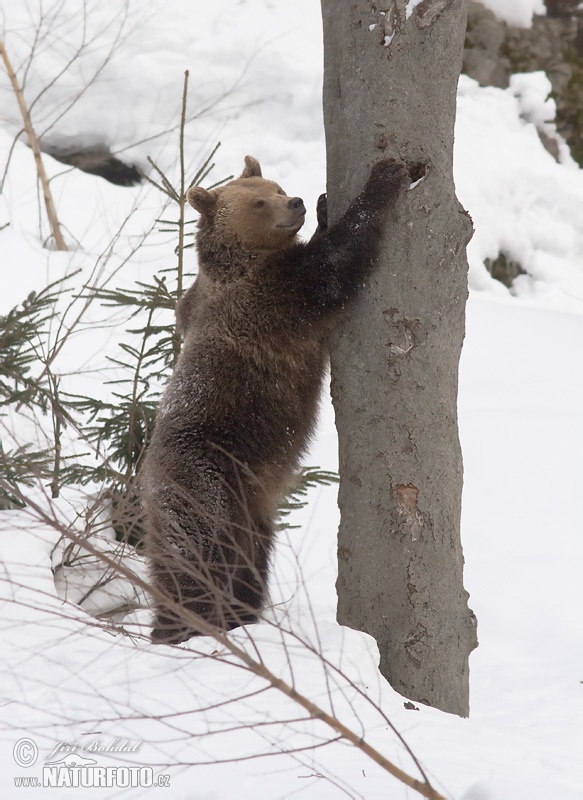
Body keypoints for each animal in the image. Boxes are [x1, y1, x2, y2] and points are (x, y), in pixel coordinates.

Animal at [141, 156, 410, 644]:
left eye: (276, 187)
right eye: (258, 202)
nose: (297, 202)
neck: (246, 260)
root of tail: (144, 480)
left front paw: (325, 207)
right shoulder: (272, 296)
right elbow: (335, 265)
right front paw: (386, 175)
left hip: (253, 510)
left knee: (249, 565)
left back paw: (240, 617)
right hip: (206, 482)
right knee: (196, 559)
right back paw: (183, 629)